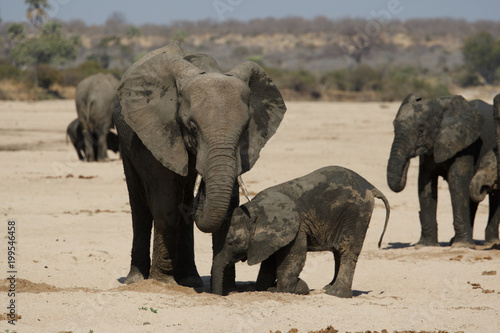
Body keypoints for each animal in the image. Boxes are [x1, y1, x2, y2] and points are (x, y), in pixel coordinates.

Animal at [113, 42, 286, 288]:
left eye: (245, 129)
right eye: (192, 127)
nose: (202, 193)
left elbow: (226, 205)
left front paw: (225, 287)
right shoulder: (156, 131)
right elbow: (165, 203)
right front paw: (163, 283)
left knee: (183, 194)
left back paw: (190, 279)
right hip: (126, 138)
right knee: (141, 204)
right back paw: (136, 280)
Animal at [211, 165, 390, 296]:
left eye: (233, 242)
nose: (222, 295)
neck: (255, 208)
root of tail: (370, 186)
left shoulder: (297, 228)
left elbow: (294, 258)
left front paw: (288, 289)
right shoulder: (271, 237)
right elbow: (269, 261)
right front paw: (268, 287)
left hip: (356, 212)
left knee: (347, 250)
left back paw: (335, 294)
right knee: (338, 251)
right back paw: (328, 288)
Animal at [386, 93, 492, 246]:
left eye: (421, 129)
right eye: (394, 127)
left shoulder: (465, 143)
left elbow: (457, 183)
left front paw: (460, 245)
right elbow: (425, 185)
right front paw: (424, 245)